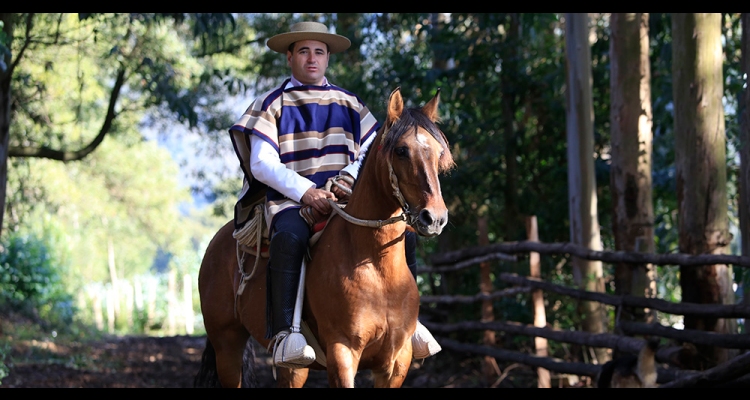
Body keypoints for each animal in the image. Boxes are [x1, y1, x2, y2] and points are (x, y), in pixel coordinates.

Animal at [194, 86, 456, 388]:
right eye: (401, 150)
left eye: (439, 152)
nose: (434, 218)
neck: (376, 267)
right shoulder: (342, 353)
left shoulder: (396, 361)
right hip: (227, 346)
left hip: (292, 368)